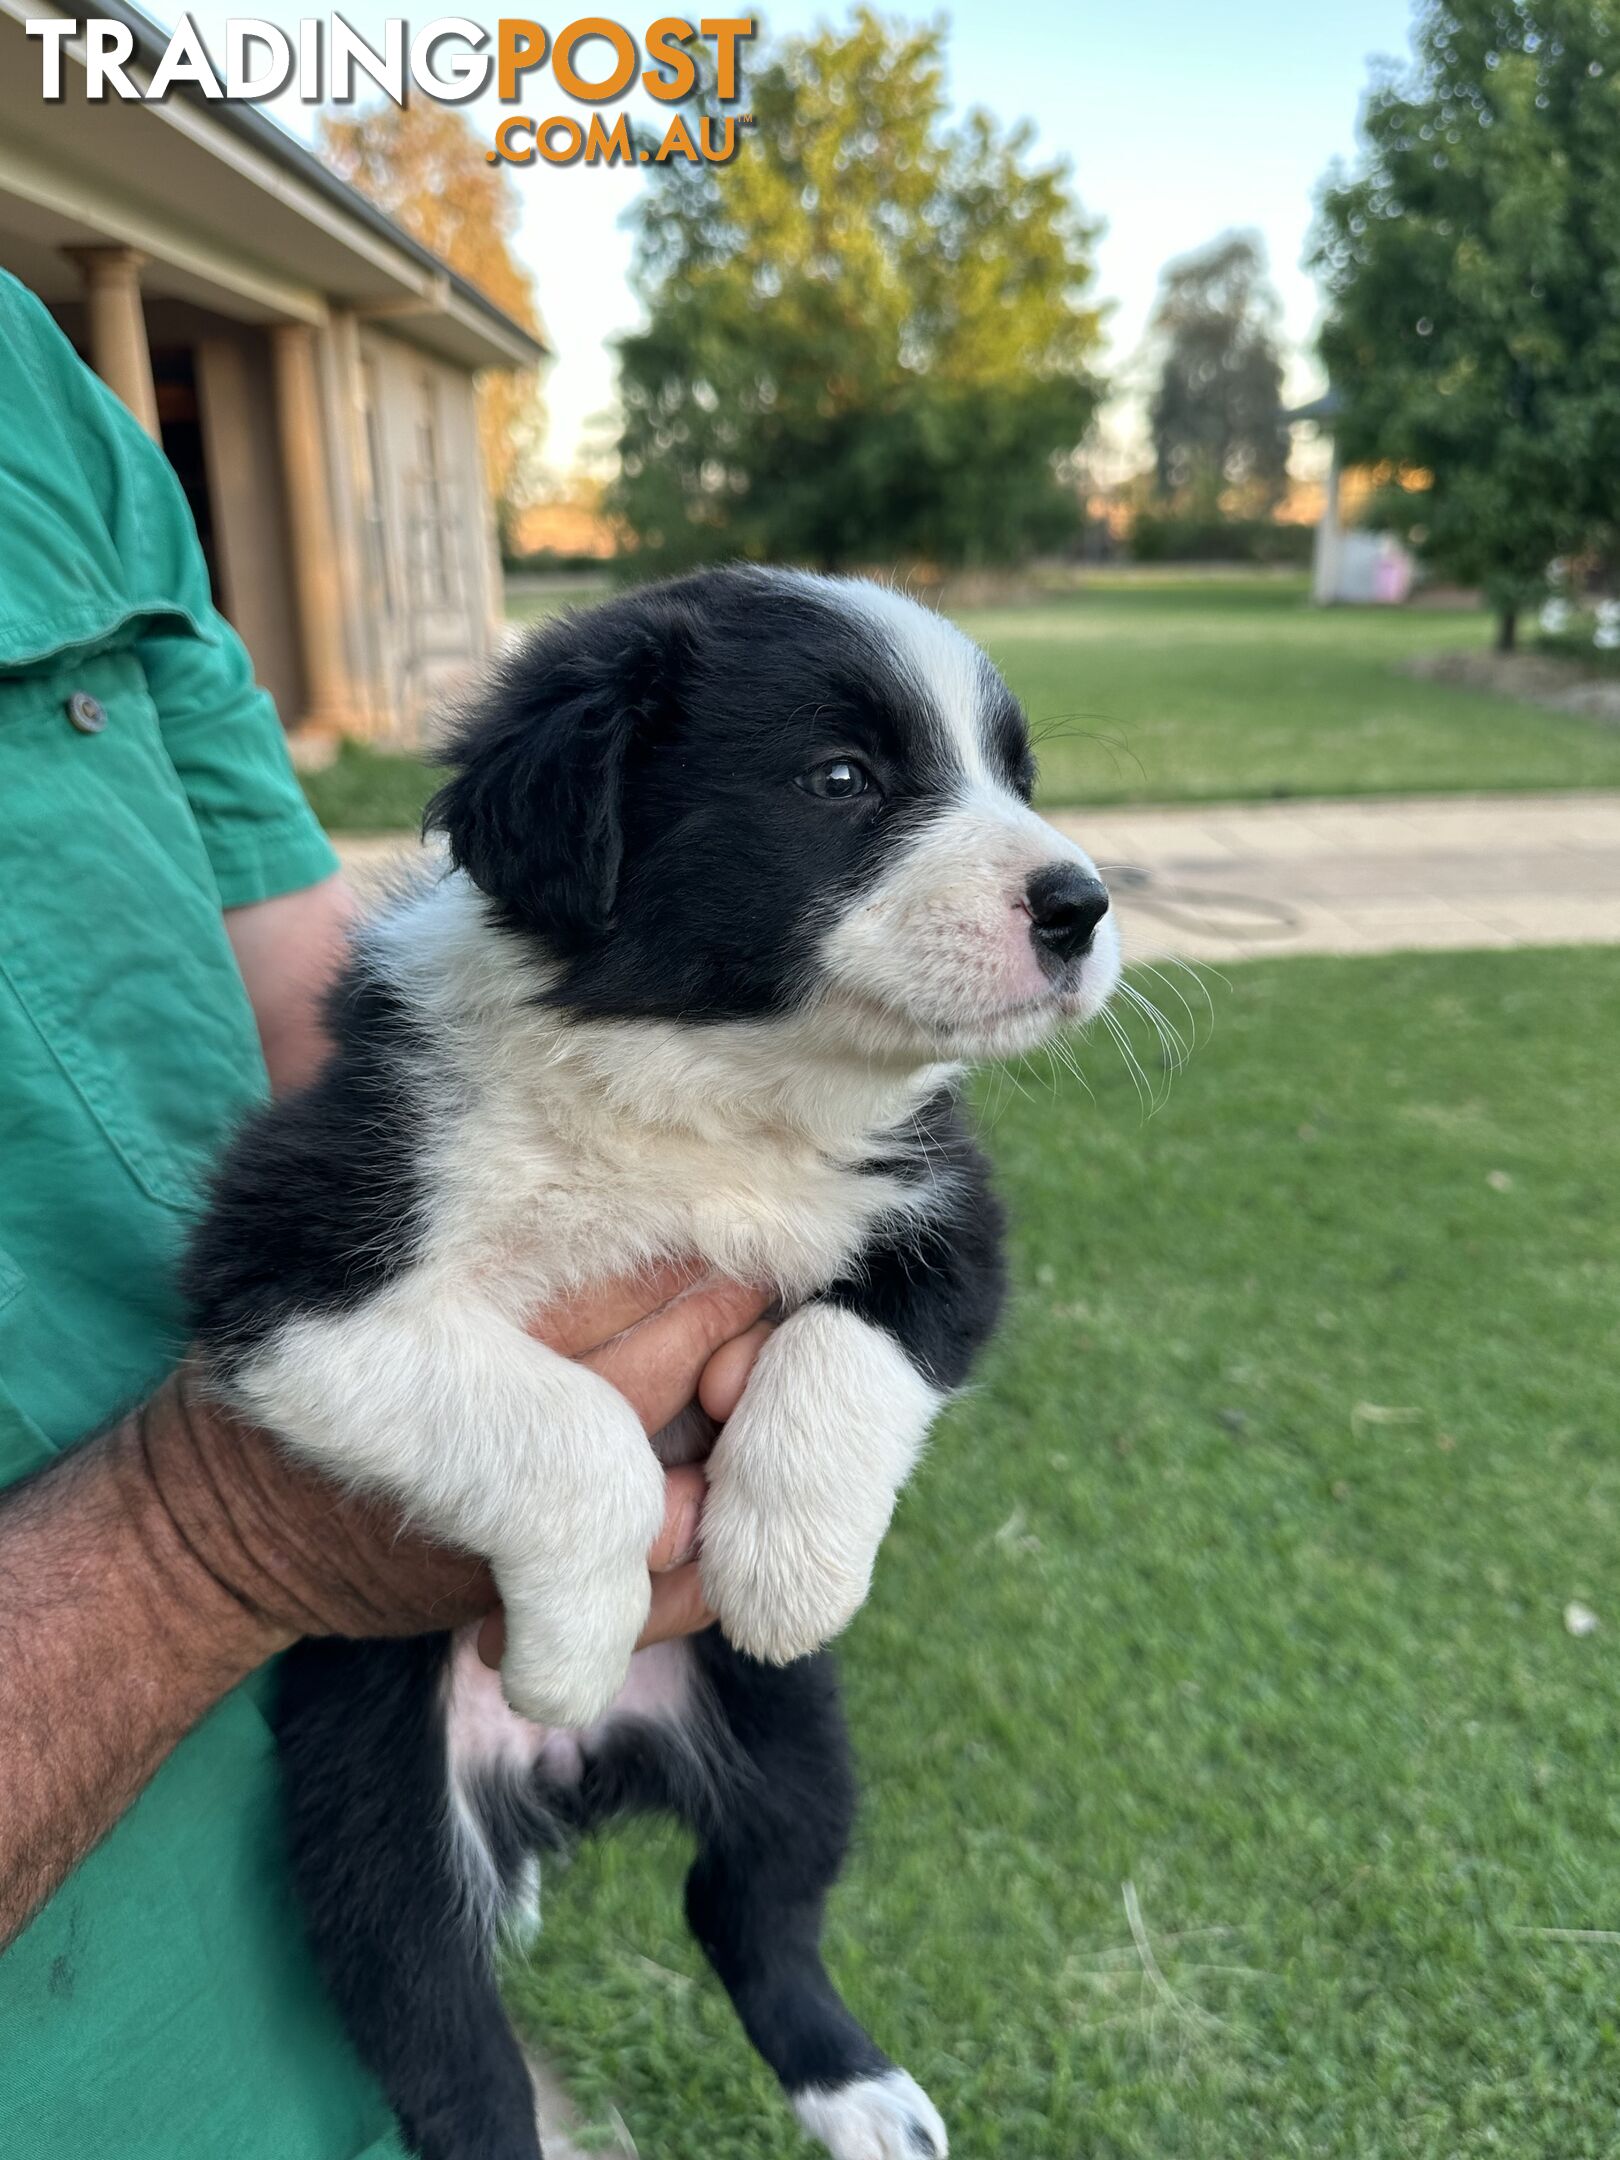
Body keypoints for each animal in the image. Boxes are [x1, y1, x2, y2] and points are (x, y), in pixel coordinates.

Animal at [180, 565, 1114, 2151]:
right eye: (842, 780)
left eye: (1017, 780)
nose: (1083, 906)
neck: (704, 1087)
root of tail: (573, 1781)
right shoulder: (288, 1268)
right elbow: (572, 1428)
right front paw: (572, 1639)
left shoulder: (946, 1211)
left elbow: (849, 1350)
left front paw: (790, 1570)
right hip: (371, 1819)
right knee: (448, 2043)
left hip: (792, 1740)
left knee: (753, 1905)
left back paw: (866, 2096)